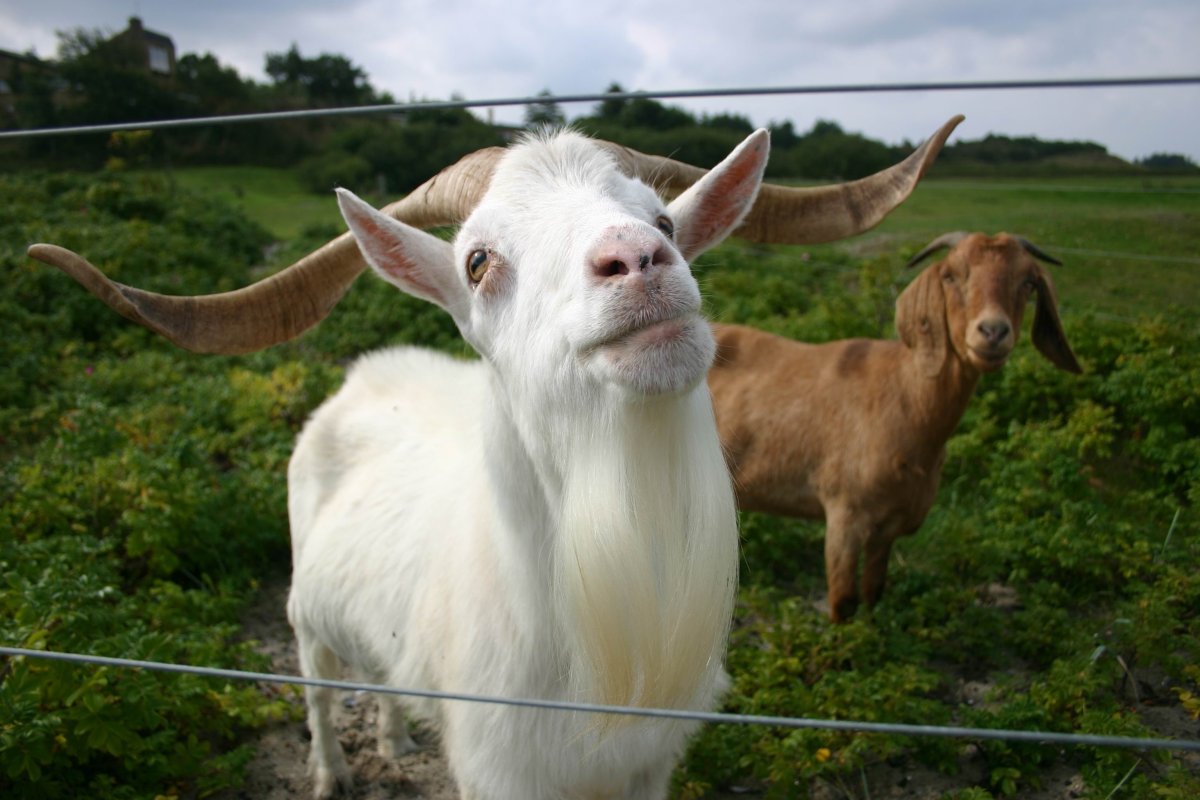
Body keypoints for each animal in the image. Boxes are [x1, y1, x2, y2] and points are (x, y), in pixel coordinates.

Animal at [708, 232, 1081, 623]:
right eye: (950, 275)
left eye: (1028, 282)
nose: (992, 332)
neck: (905, 397)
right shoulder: (844, 514)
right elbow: (843, 600)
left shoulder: (889, 525)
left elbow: (874, 590)